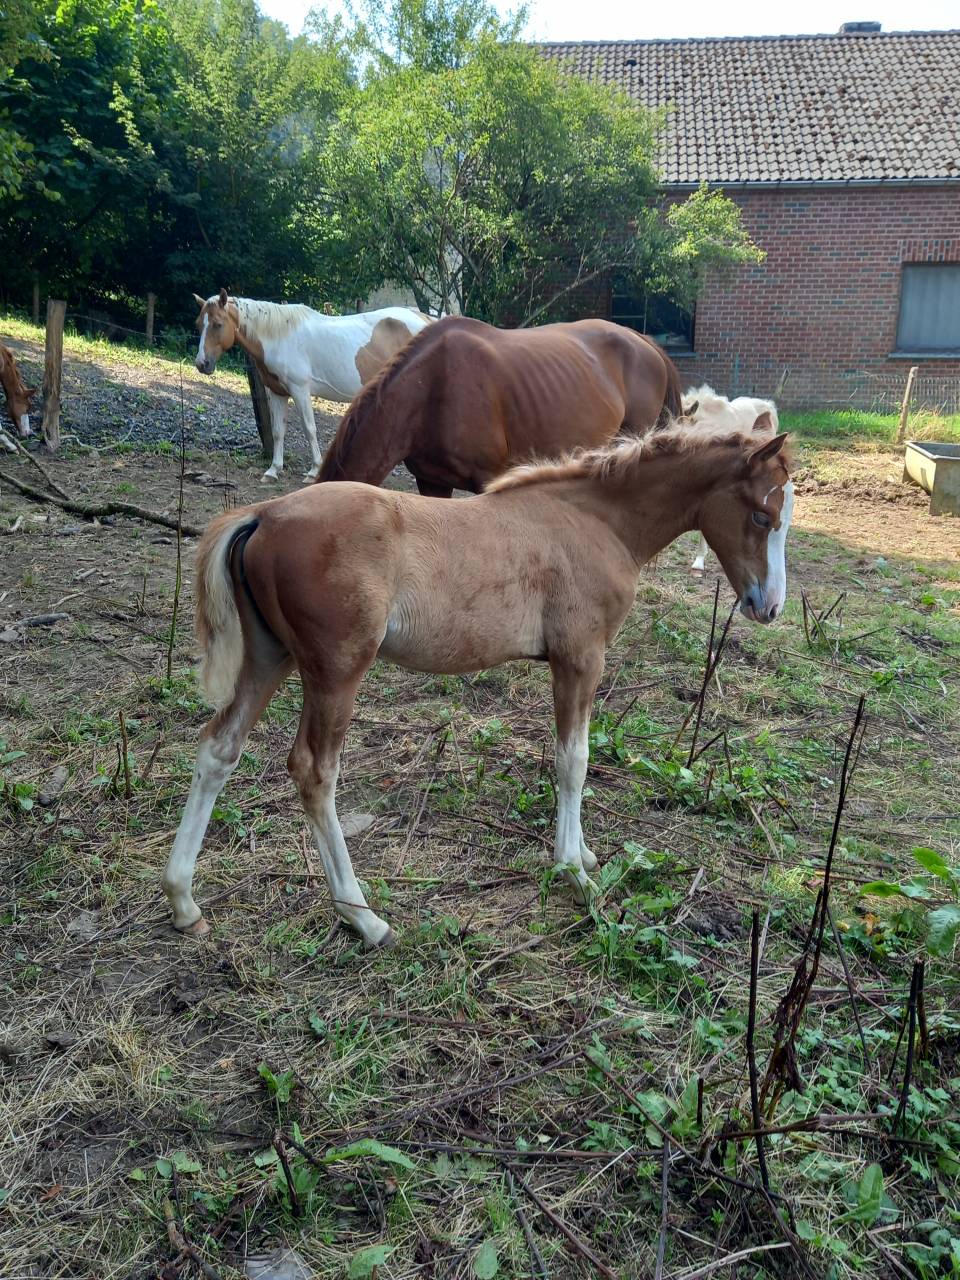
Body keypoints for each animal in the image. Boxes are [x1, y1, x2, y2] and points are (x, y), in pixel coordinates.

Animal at [162, 418, 793, 948]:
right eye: (762, 518)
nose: (769, 607)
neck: (597, 522)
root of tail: (264, 514)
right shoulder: (579, 657)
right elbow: (573, 760)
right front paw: (572, 870)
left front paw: (585, 854)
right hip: (335, 670)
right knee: (314, 772)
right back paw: (364, 917)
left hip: (271, 657)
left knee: (218, 749)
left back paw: (183, 901)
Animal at [192, 290, 433, 482]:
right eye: (199, 324)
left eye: (218, 324)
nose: (202, 364)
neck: (279, 337)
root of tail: (425, 319)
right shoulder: (277, 393)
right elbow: (278, 431)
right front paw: (273, 471)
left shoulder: (300, 390)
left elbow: (309, 429)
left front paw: (313, 471)